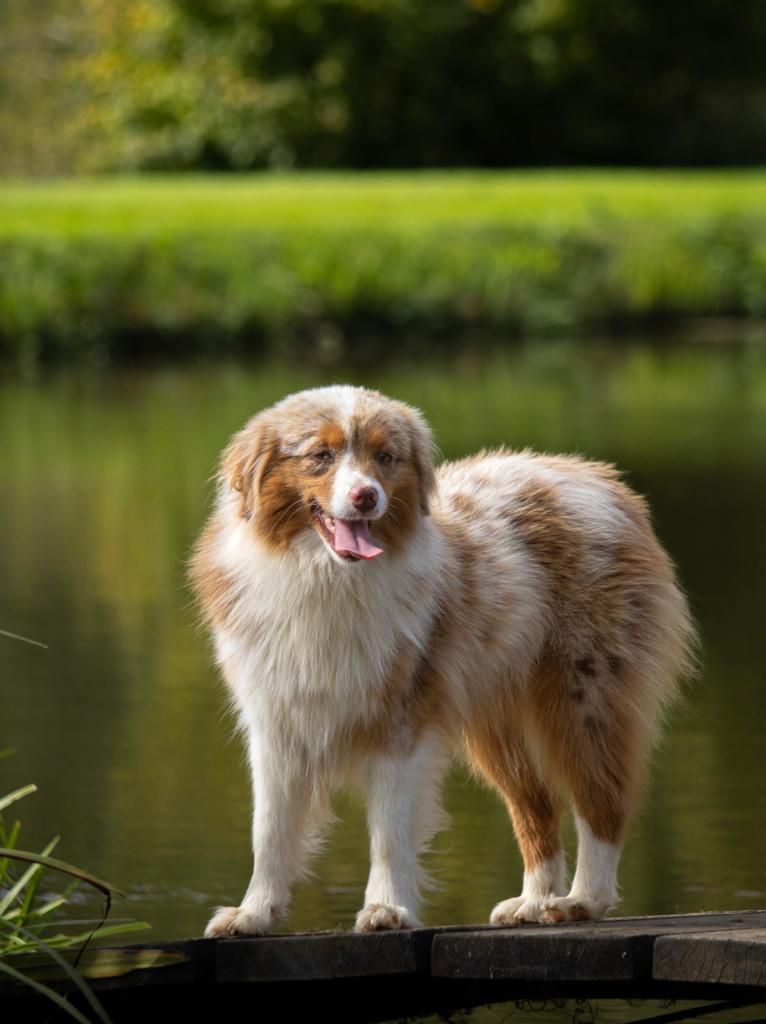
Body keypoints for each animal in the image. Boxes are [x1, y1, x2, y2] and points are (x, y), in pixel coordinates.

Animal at [190, 385, 692, 937]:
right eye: (320, 455)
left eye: (385, 457)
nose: (367, 496)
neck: (324, 575)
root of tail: (598, 477)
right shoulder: (276, 722)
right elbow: (269, 832)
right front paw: (254, 913)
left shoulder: (401, 719)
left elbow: (389, 830)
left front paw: (386, 909)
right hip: (499, 723)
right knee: (536, 806)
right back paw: (532, 902)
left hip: (581, 698)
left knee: (600, 798)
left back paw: (581, 901)